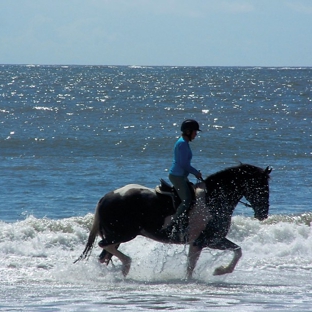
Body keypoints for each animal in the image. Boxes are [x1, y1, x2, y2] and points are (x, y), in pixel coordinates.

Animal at [75, 165, 270, 280]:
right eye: (261, 188)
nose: (263, 214)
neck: (213, 200)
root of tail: (106, 197)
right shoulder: (208, 240)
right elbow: (234, 252)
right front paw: (219, 270)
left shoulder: (203, 241)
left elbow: (234, 251)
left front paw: (217, 271)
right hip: (124, 234)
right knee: (104, 246)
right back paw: (126, 265)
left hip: (118, 235)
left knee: (105, 254)